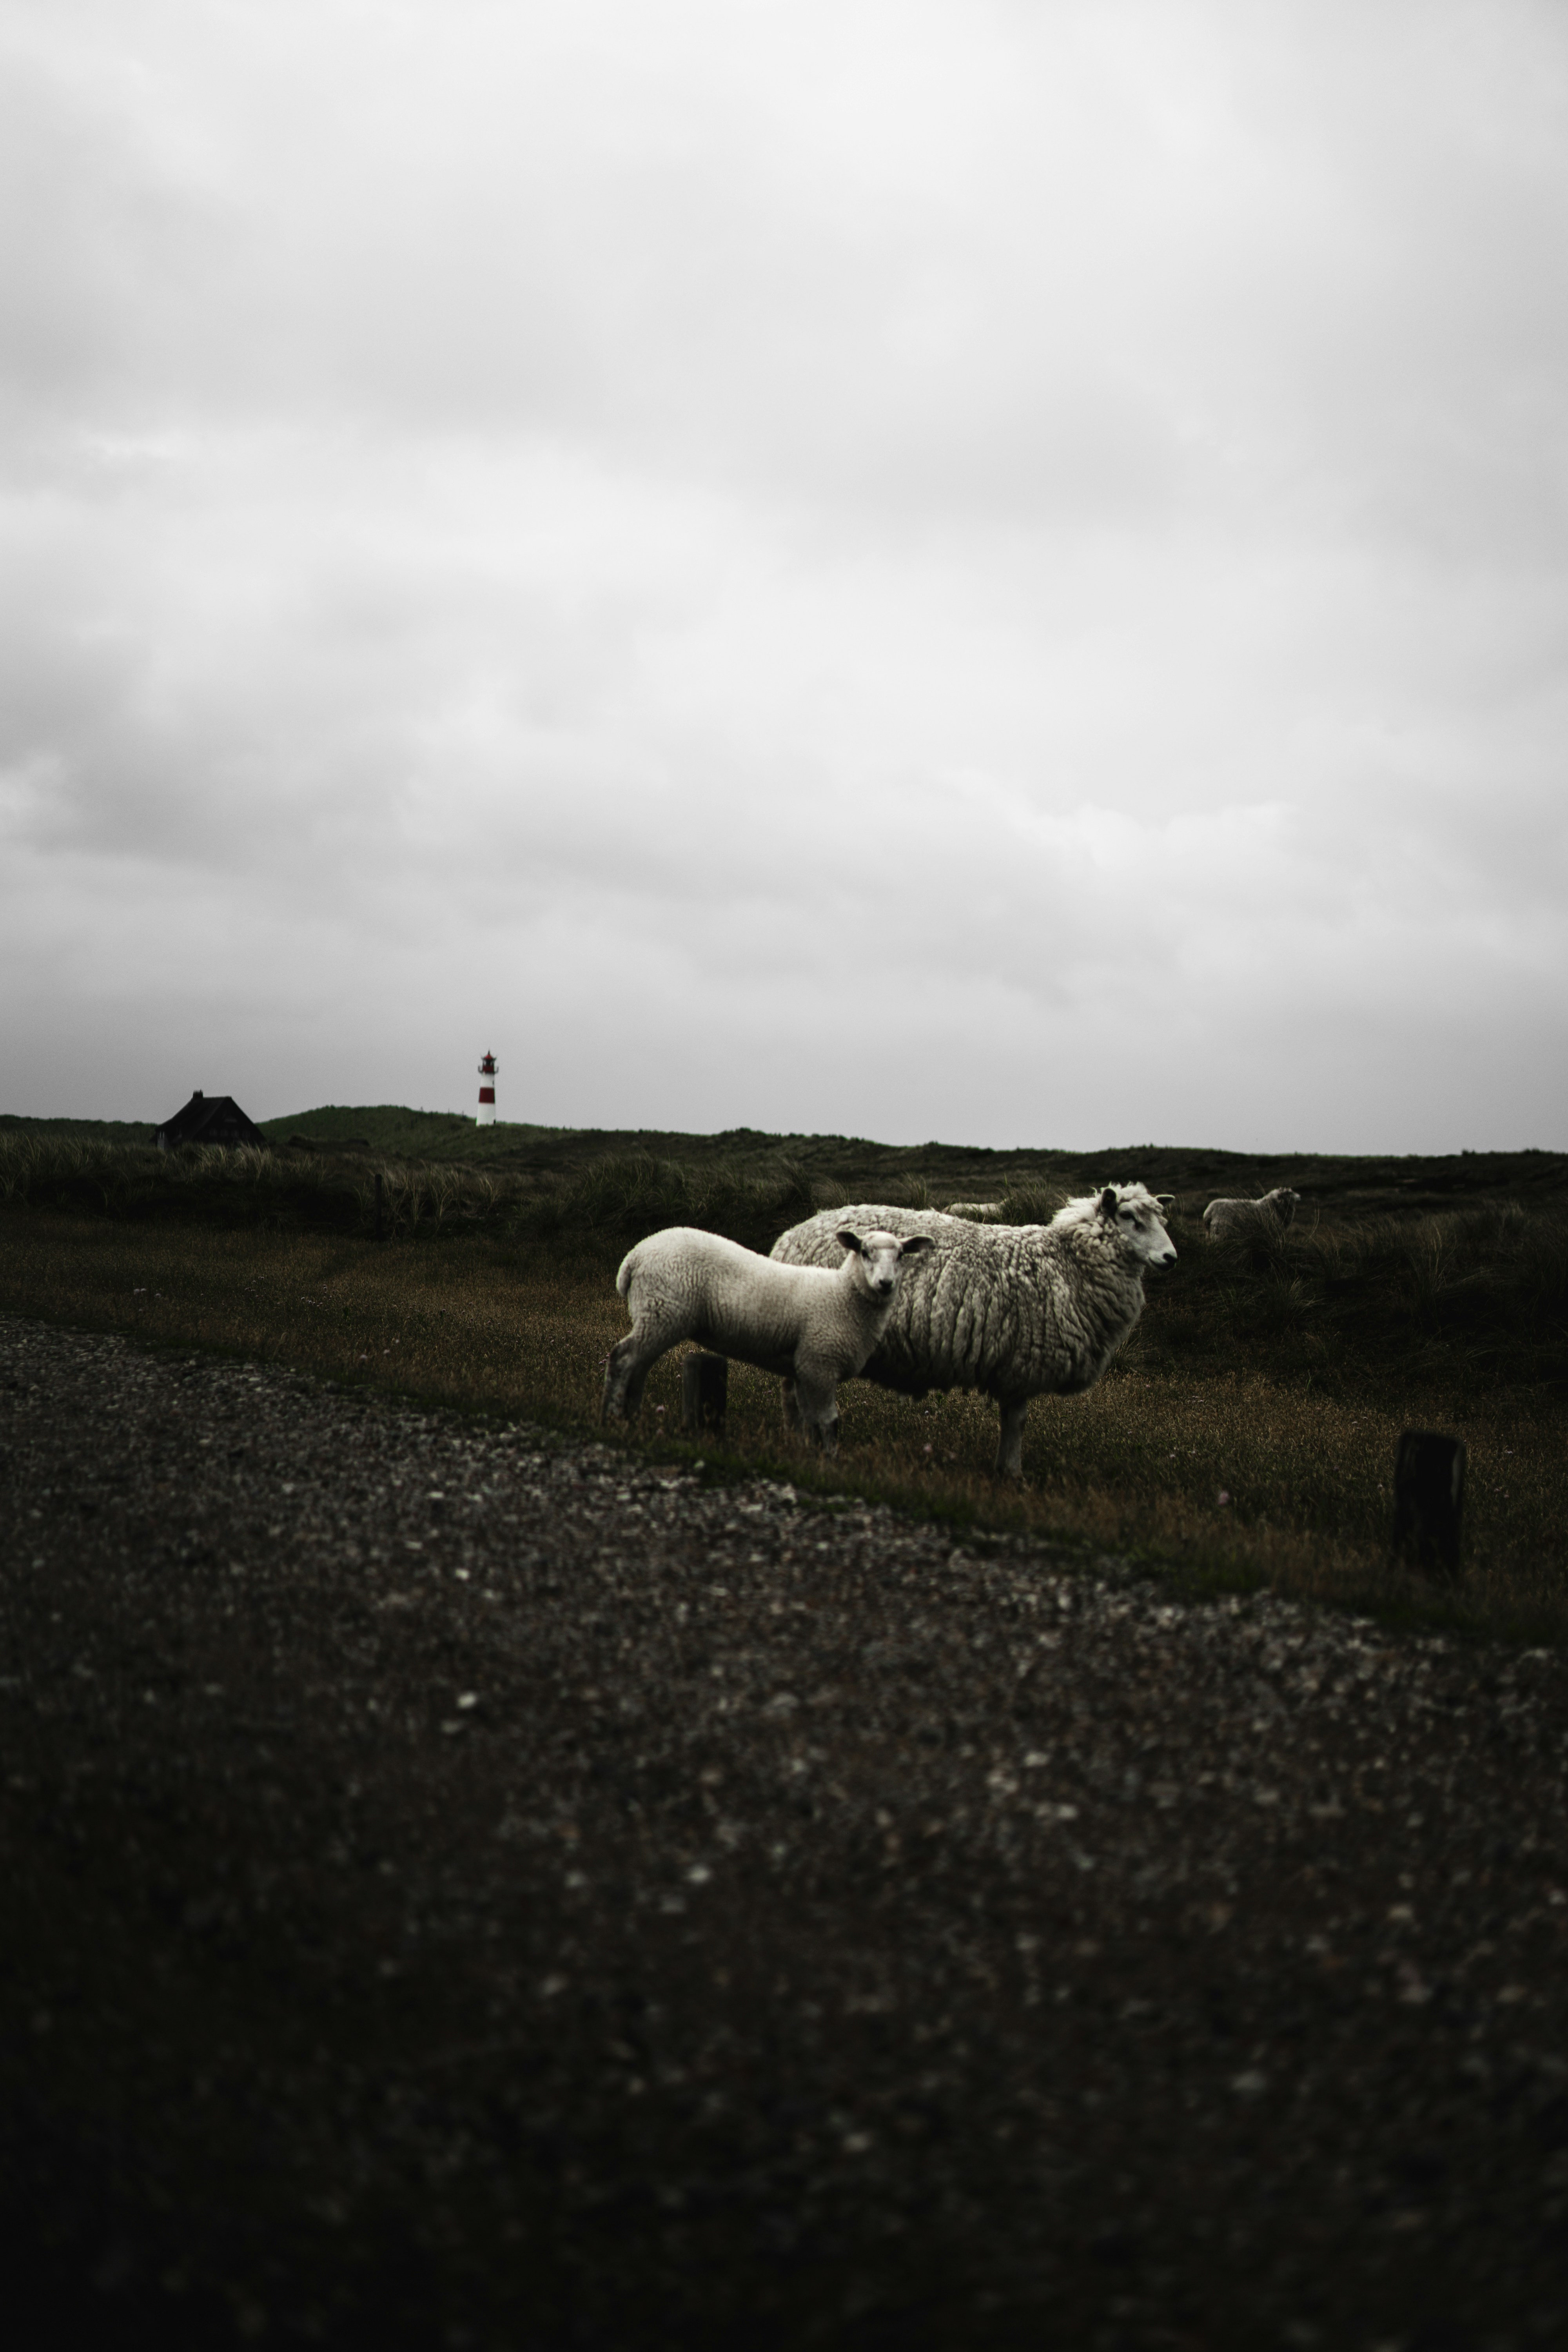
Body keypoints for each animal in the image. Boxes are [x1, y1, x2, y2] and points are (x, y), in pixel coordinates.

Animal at [601, 1224, 936, 1457]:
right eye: (865, 1252)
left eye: (901, 1256)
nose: (886, 1284)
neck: (845, 1296)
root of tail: (635, 1257)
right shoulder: (820, 1361)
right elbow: (829, 1420)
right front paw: (830, 1460)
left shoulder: (805, 1367)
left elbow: (809, 1420)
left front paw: (809, 1456)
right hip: (663, 1309)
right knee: (623, 1359)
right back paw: (614, 1417)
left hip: (657, 1315)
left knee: (638, 1367)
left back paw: (632, 1419)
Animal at [771, 1183, 1176, 1479]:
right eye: (1128, 1217)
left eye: (1162, 1219)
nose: (1171, 1258)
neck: (1069, 1263)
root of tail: (791, 1236)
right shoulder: (1022, 1363)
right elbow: (1017, 1421)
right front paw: (1012, 1473)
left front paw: (1007, 1471)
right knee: (796, 1391)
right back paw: (799, 1441)